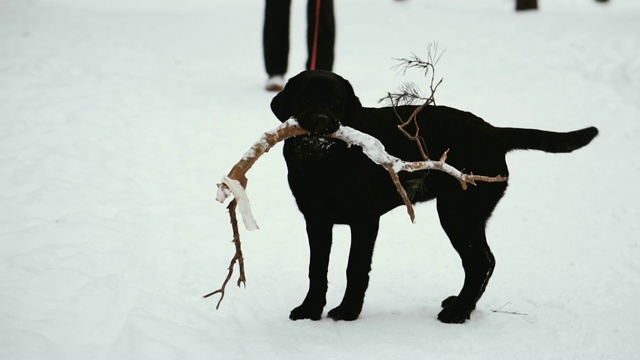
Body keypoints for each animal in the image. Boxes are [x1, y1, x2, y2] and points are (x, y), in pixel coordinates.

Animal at [272, 69, 600, 324]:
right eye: (303, 99)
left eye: (335, 102)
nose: (320, 122)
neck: (324, 164)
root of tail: (494, 132)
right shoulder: (316, 219)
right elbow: (317, 269)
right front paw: (310, 310)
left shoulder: (365, 220)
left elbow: (355, 268)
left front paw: (348, 312)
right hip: (465, 216)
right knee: (484, 261)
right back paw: (461, 306)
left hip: (458, 213)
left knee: (481, 262)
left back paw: (457, 313)